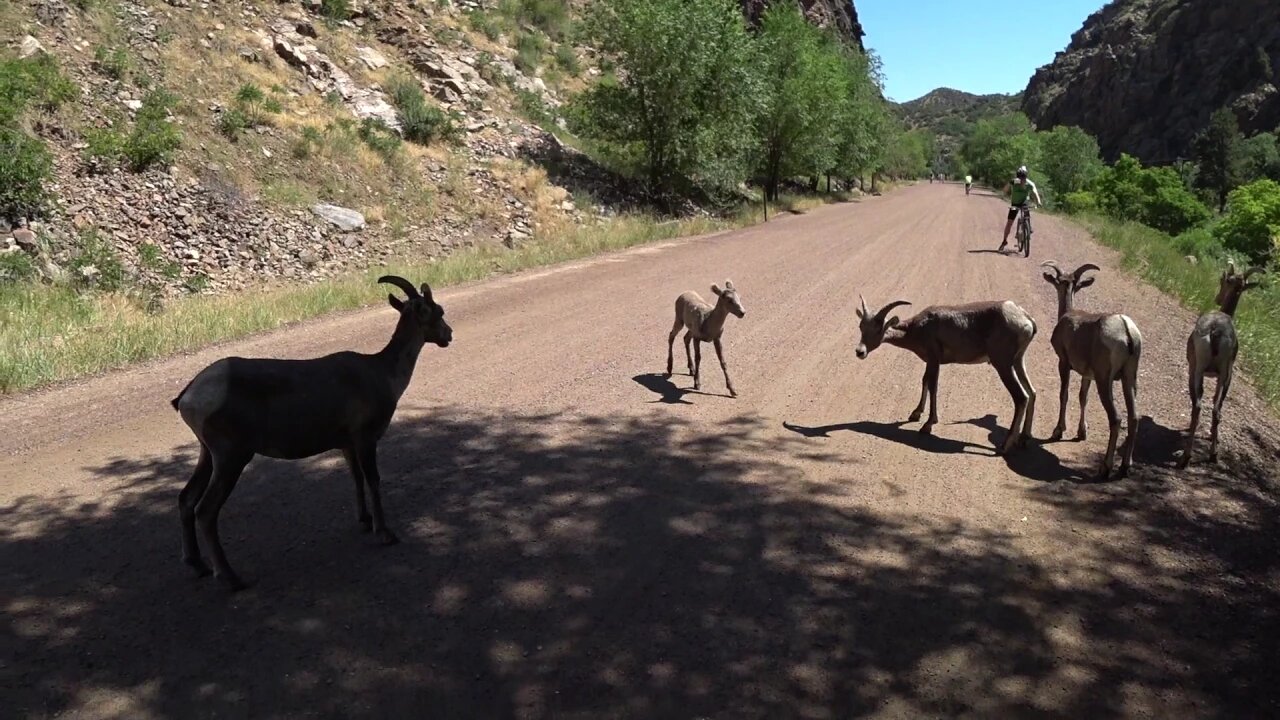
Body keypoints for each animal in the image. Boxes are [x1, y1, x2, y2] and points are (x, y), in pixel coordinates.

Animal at [167, 274, 453, 589]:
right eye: (437, 311)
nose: (448, 335)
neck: (382, 374)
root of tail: (188, 396)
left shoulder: (347, 444)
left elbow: (355, 478)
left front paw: (364, 521)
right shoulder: (365, 438)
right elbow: (373, 480)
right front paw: (385, 533)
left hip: (208, 453)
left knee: (186, 499)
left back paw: (197, 565)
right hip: (231, 456)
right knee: (205, 510)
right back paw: (231, 578)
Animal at [855, 293, 1034, 450]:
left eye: (879, 328)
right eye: (861, 326)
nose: (860, 352)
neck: (919, 327)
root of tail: (1026, 319)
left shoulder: (934, 359)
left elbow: (933, 386)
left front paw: (928, 425)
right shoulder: (930, 361)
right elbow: (925, 381)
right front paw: (915, 414)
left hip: (1003, 365)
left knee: (1021, 397)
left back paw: (1006, 445)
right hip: (1018, 362)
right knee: (1032, 392)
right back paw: (1024, 439)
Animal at [1039, 260, 1141, 479]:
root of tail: (1126, 331)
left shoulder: (1064, 363)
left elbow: (1064, 395)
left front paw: (1058, 431)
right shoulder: (1088, 375)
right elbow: (1082, 397)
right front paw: (1081, 433)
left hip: (1105, 381)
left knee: (1116, 418)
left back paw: (1105, 468)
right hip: (1129, 378)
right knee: (1134, 417)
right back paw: (1125, 467)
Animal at [1172, 260, 1264, 468]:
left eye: (1223, 280)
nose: (1217, 298)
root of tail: (1215, 331)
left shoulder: (1194, 369)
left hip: (1198, 371)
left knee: (1198, 406)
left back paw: (1185, 457)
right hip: (1225, 375)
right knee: (1217, 409)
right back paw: (1213, 454)